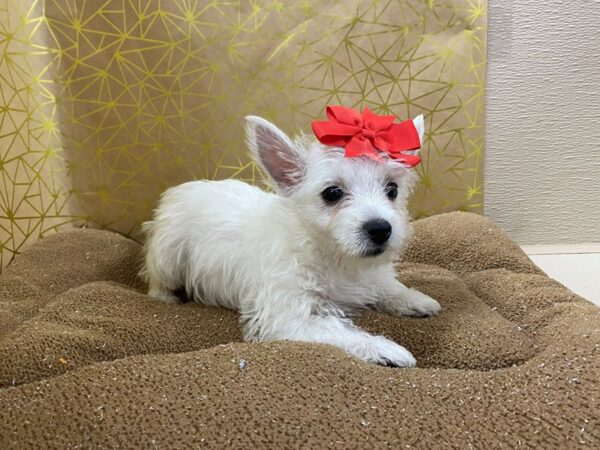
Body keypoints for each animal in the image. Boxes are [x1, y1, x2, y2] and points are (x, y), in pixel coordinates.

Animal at [141, 114, 440, 368]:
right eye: (332, 193)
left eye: (392, 190)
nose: (380, 229)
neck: (333, 256)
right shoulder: (288, 317)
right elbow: (334, 329)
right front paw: (385, 349)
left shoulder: (368, 276)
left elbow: (386, 285)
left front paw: (414, 299)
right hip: (167, 256)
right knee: (157, 280)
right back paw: (166, 297)